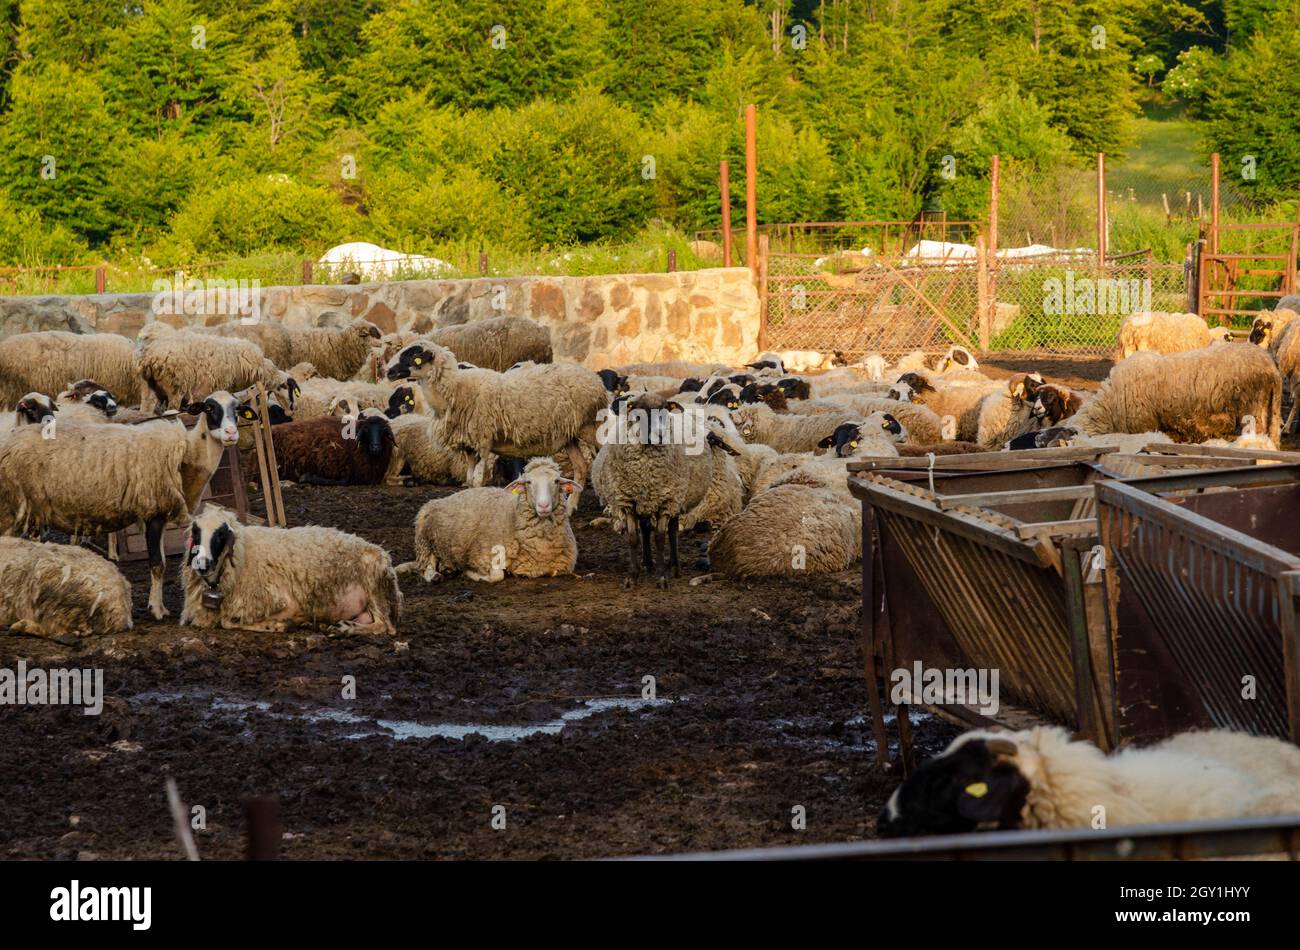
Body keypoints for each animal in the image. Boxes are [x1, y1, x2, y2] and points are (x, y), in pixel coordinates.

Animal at [0, 391, 243, 619]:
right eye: (210, 408)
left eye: (238, 409)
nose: (231, 434)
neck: (186, 455)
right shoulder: (153, 511)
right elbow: (158, 564)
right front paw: (157, 610)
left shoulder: (161, 512)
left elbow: (162, 562)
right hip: (14, 506)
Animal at [179, 503, 400, 635]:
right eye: (196, 532)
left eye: (220, 534)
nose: (202, 563)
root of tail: (382, 552)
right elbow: (227, 620)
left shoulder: (285, 604)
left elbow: (228, 621)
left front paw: (275, 625)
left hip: (373, 583)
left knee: (384, 626)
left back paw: (344, 628)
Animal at [386, 342, 608, 488]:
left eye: (413, 356)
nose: (388, 371)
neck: (456, 390)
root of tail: (596, 381)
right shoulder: (469, 446)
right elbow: (469, 481)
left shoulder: (483, 441)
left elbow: (477, 480)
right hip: (568, 435)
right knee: (580, 468)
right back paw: (570, 509)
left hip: (590, 426)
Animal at [398, 456, 581, 583]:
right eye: (528, 482)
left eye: (556, 481)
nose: (543, 505)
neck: (512, 517)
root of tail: (435, 501)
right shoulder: (482, 554)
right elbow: (497, 575)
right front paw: (472, 574)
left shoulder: (561, 567)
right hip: (425, 542)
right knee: (425, 566)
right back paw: (436, 576)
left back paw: (447, 569)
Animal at [591, 392, 716, 586]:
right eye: (640, 413)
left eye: (665, 410)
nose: (660, 434)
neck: (646, 472)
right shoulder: (628, 501)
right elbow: (633, 538)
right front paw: (632, 576)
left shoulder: (667, 500)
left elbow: (660, 537)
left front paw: (662, 576)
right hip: (645, 502)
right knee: (645, 528)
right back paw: (647, 564)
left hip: (677, 499)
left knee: (672, 531)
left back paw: (674, 567)